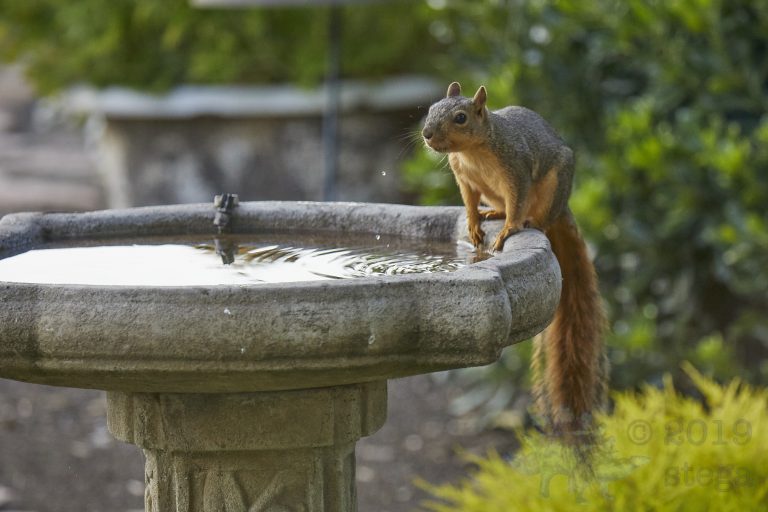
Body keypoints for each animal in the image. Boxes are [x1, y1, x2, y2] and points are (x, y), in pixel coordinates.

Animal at [422, 81, 608, 441]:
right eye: (430, 109)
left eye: (461, 118)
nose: (426, 134)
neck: (474, 151)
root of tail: (563, 208)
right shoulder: (464, 177)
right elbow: (468, 201)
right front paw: (473, 223)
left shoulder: (515, 169)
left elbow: (517, 199)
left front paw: (508, 230)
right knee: (499, 205)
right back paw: (492, 214)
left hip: (553, 188)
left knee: (535, 214)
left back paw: (528, 222)